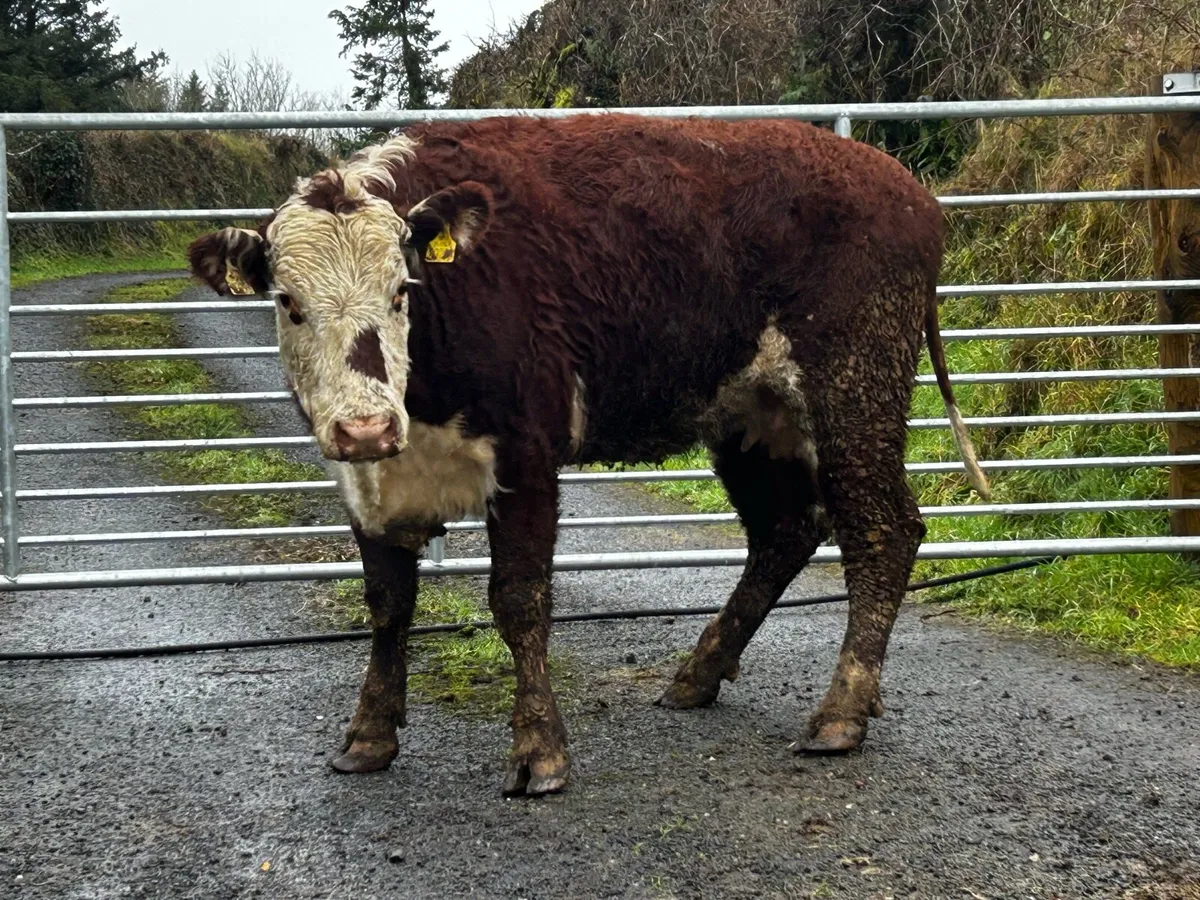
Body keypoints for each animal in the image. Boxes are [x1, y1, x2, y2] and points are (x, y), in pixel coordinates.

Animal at [187, 112, 989, 798]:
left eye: (401, 289)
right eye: (288, 302)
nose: (365, 426)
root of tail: (906, 189)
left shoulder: (526, 453)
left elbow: (519, 600)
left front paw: (539, 751)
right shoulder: (370, 481)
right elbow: (387, 603)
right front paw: (368, 735)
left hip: (855, 386)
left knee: (883, 530)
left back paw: (841, 711)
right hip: (751, 417)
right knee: (785, 530)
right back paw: (700, 674)